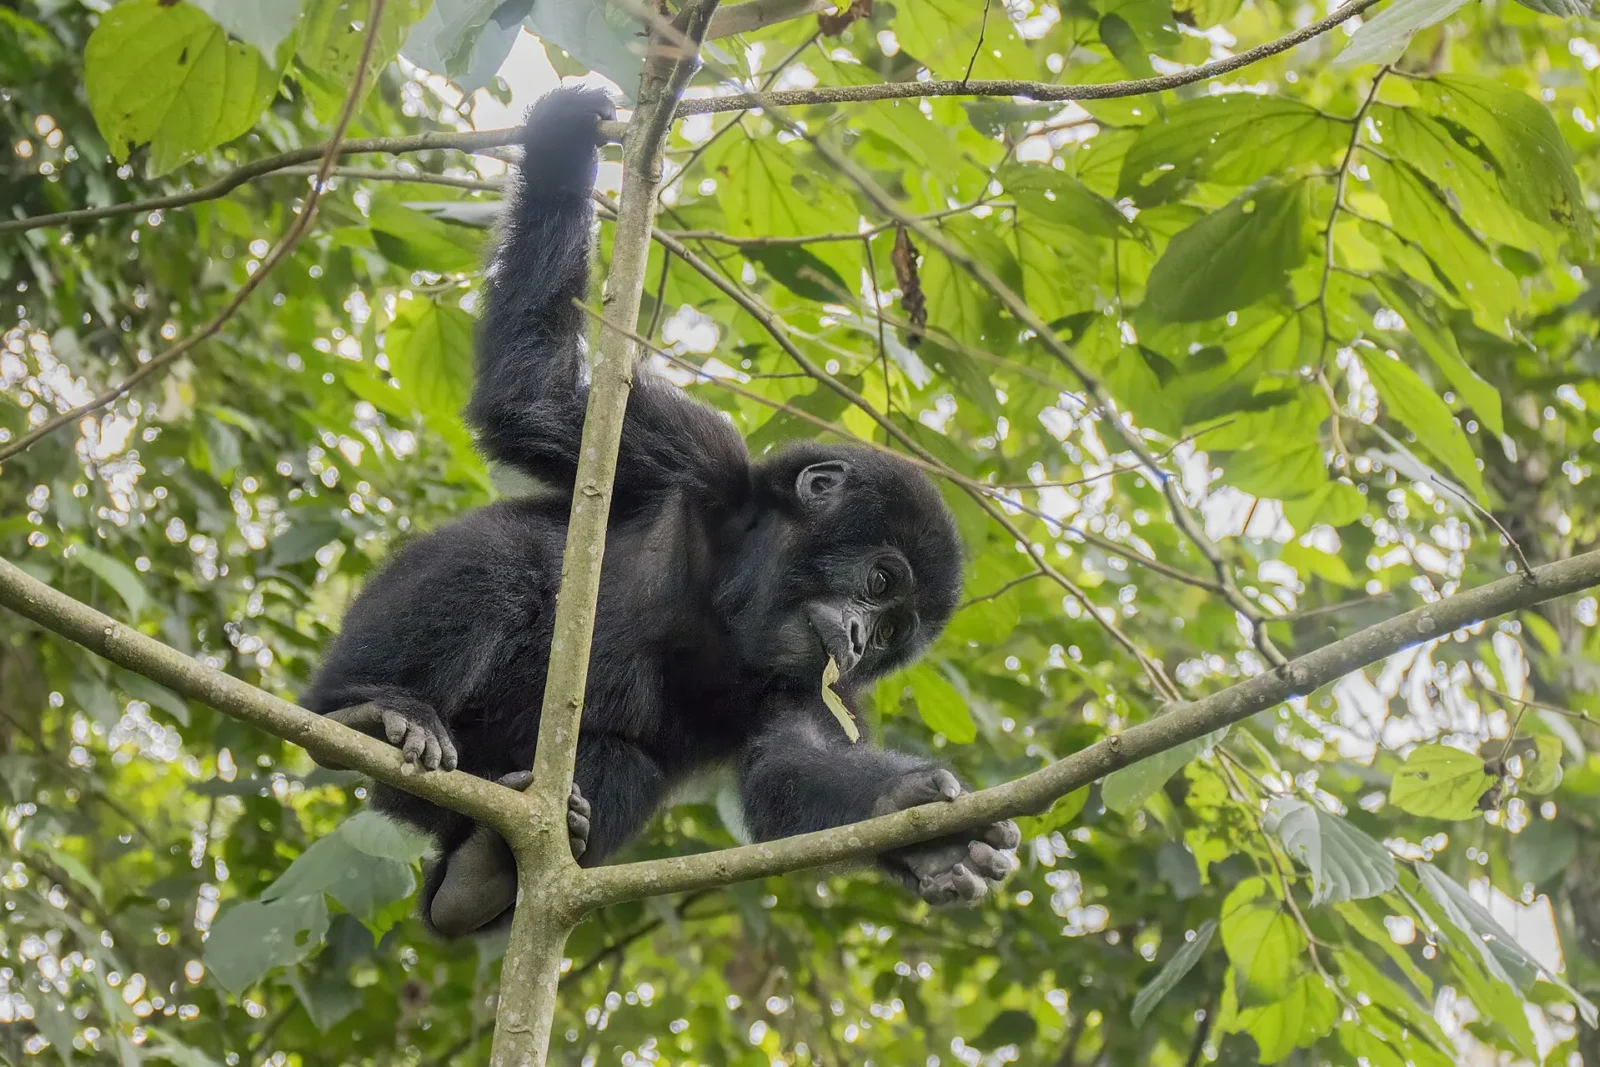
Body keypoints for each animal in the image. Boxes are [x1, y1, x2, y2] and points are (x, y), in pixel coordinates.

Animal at [305, 87, 1019, 937]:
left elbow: (791, 763)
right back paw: (368, 707)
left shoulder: (821, 690)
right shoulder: (692, 452)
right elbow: (533, 399)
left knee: (622, 764)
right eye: (880, 582)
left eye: (889, 634)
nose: (854, 637)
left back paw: (480, 874)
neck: (733, 581)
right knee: (498, 563)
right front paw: (566, 140)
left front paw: (919, 825)